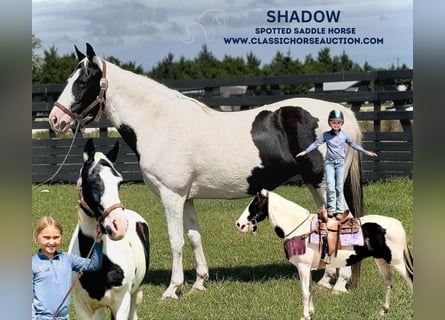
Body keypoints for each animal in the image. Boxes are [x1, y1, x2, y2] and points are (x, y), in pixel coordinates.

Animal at [50, 43, 366, 300]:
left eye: (83, 81)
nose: (55, 120)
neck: (160, 123)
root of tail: (343, 116)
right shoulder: (186, 198)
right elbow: (193, 237)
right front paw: (199, 283)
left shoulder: (172, 196)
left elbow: (176, 241)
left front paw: (172, 290)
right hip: (318, 186)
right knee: (327, 224)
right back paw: (327, 280)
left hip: (324, 184)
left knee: (344, 224)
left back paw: (340, 284)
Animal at [68, 139, 150, 318]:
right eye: (93, 181)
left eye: (119, 182)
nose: (118, 225)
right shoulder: (83, 306)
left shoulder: (121, 304)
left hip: (134, 294)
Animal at [236, 190, 412, 320]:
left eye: (255, 203)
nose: (239, 224)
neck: (300, 229)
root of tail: (397, 223)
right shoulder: (307, 269)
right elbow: (309, 290)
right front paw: (311, 313)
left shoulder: (303, 267)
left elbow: (305, 292)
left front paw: (305, 316)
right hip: (381, 260)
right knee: (389, 282)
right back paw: (383, 310)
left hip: (397, 262)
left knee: (410, 280)